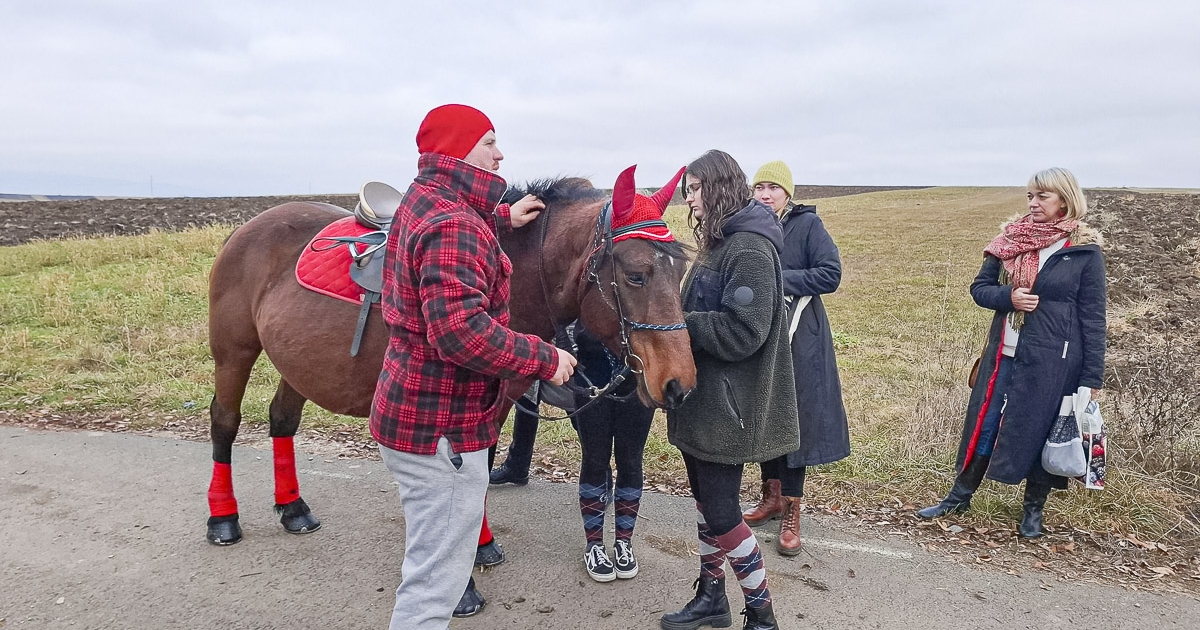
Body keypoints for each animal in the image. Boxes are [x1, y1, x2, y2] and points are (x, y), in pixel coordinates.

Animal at [204, 170, 696, 540]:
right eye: (635, 275)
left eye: (681, 271)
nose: (680, 384)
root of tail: (249, 226)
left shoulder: (496, 402)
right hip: (234, 352)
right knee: (224, 420)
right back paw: (223, 517)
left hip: (299, 360)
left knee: (282, 419)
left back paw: (293, 509)